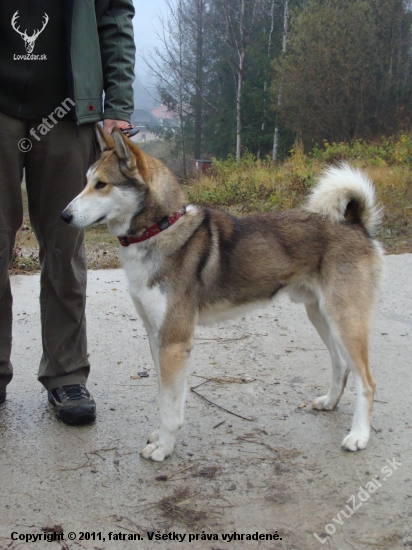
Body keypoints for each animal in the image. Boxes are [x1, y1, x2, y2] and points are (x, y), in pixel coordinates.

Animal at [61, 125, 384, 462]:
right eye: (86, 181)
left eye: (101, 184)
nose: (64, 216)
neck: (160, 228)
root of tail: (355, 223)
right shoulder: (156, 337)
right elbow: (166, 398)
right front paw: (161, 437)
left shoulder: (174, 343)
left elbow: (170, 407)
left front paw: (164, 447)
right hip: (321, 316)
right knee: (341, 365)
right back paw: (330, 402)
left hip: (345, 321)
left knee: (367, 382)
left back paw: (359, 436)